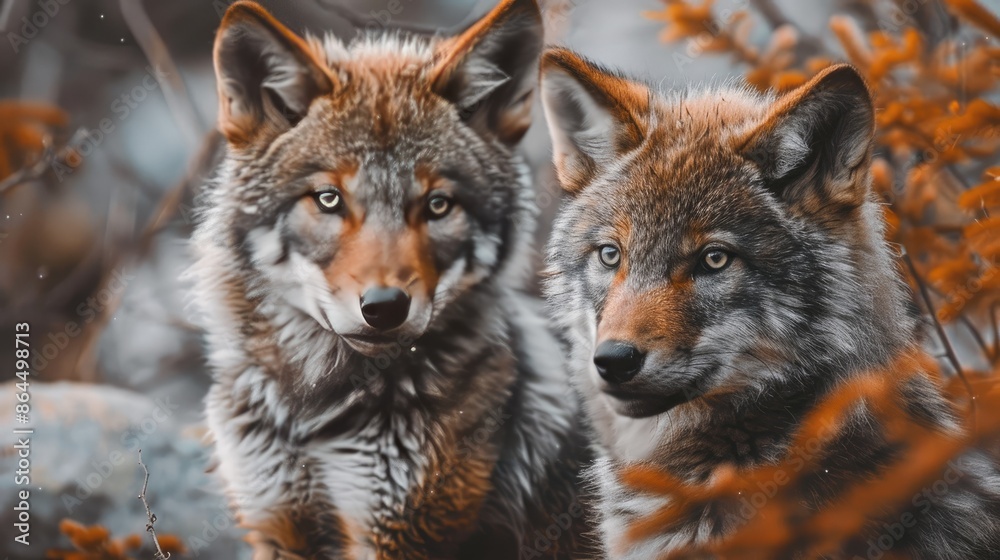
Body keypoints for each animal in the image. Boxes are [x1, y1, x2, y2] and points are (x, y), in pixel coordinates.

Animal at [187, 3, 594, 558]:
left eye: (438, 205)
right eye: (329, 199)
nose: (384, 307)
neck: (310, 407)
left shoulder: (399, 533)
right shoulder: (277, 524)